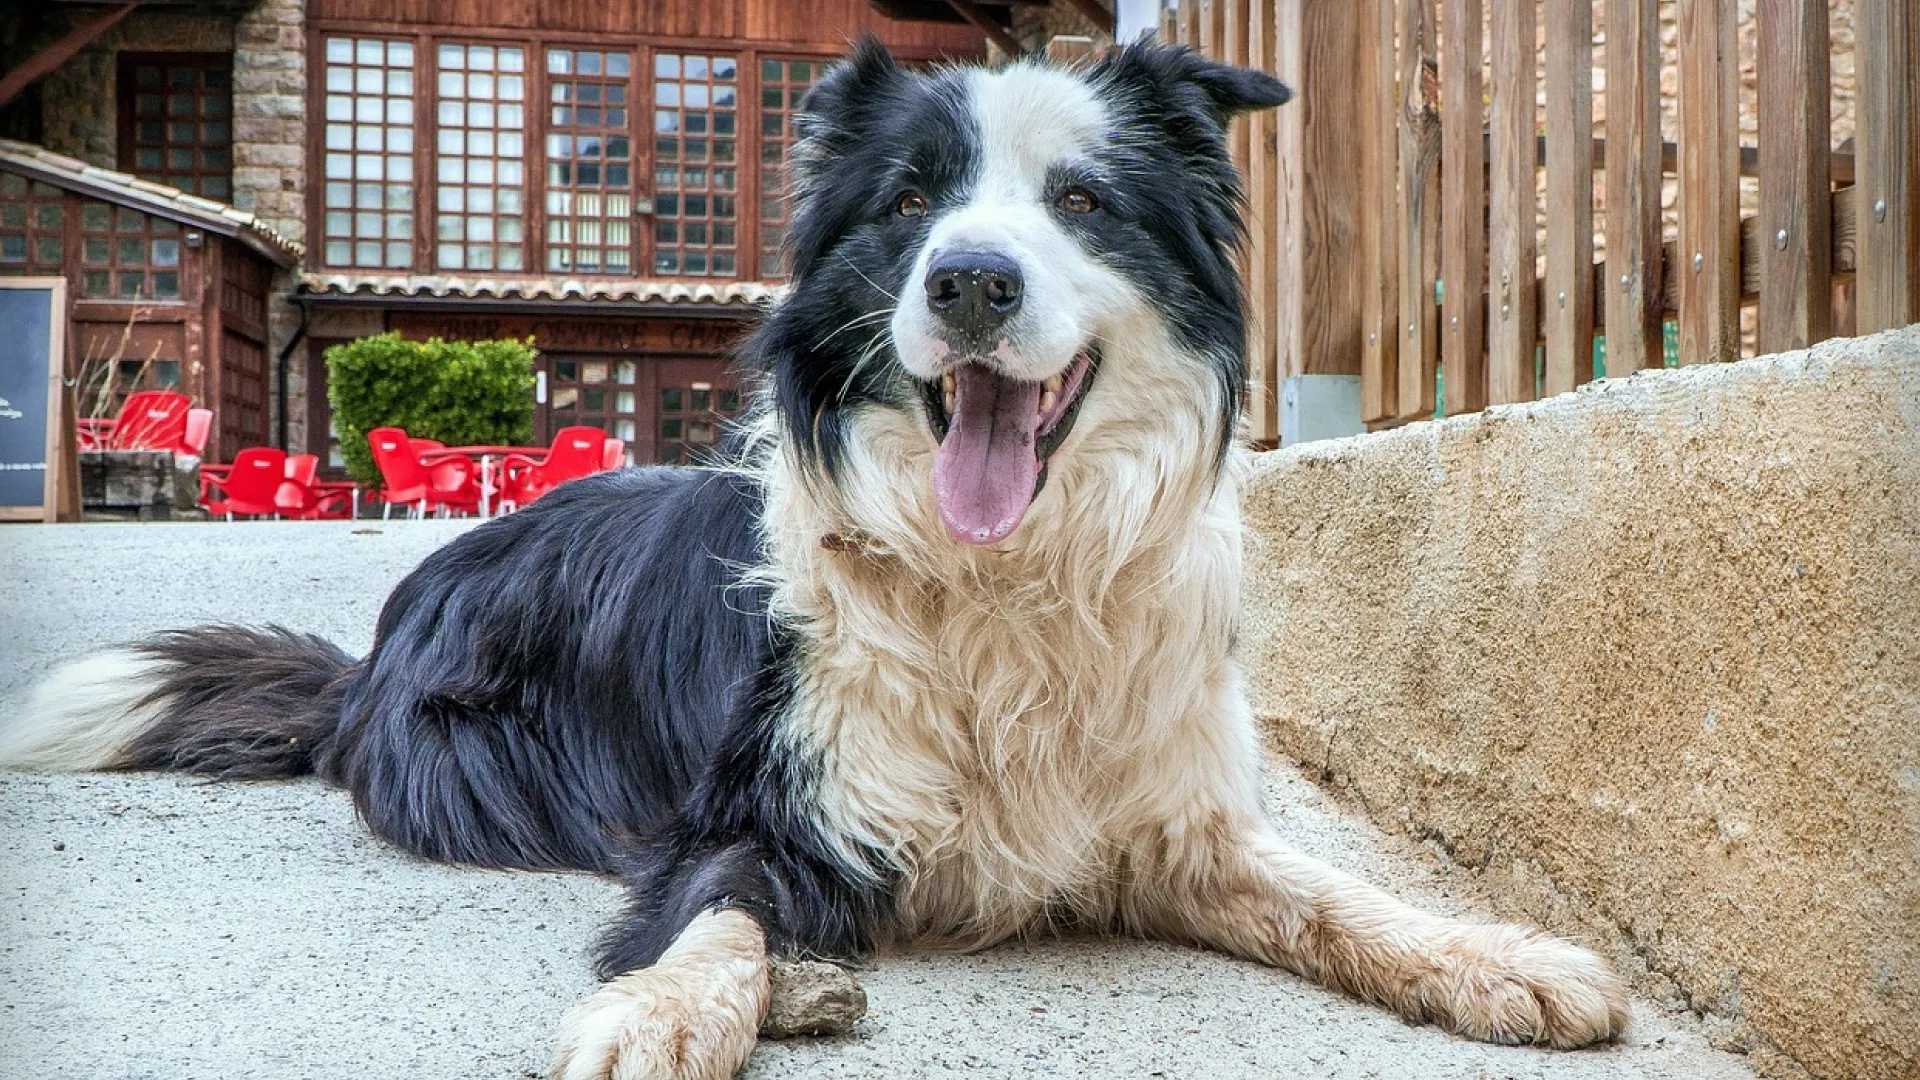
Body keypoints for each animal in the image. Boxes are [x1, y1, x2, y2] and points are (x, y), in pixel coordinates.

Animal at [0, 39, 1628, 1076]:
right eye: (908, 202)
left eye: (1083, 201)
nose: (970, 281)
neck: (1001, 581)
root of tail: (374, 647)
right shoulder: (752, 806)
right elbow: (712, 914)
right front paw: (665, 1014)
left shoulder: (1169, 825)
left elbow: (1329, 893)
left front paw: (1504, 957)